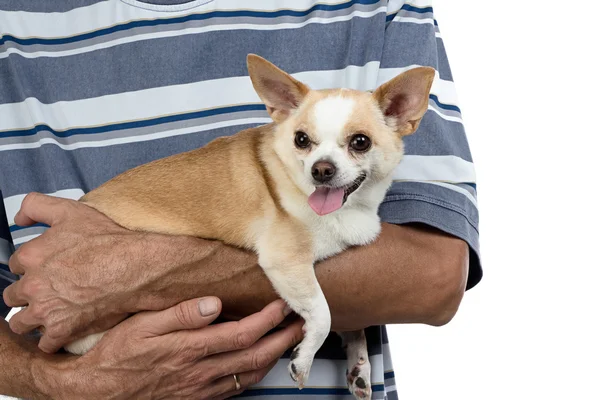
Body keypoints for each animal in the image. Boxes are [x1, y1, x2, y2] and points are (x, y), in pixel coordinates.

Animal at [63, 54, 434, 400]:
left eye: (360, 142)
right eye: (302, 140)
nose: (321, 169)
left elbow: (353, 325)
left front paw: (358, 365)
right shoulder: (285, 261)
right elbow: (323, 313)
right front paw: (304, 359)